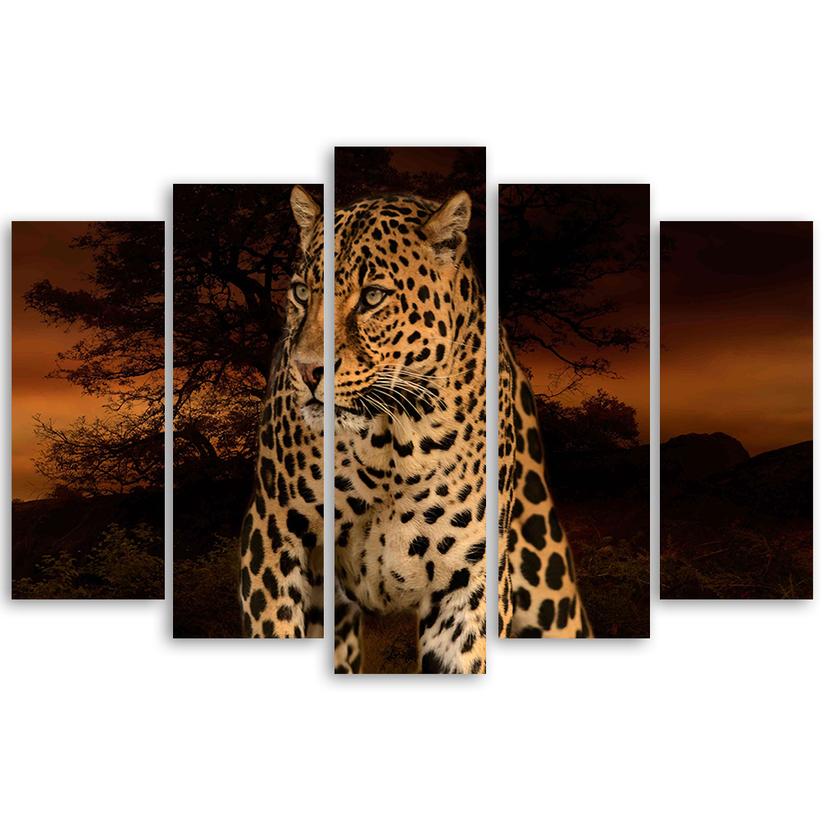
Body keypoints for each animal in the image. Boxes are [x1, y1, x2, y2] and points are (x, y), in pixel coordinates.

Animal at [240, 185, 591, 659]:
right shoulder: (272, 539)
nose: (307, 369)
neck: (390, 440)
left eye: (372, 297)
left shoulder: (469, 581)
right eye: (299, 292)